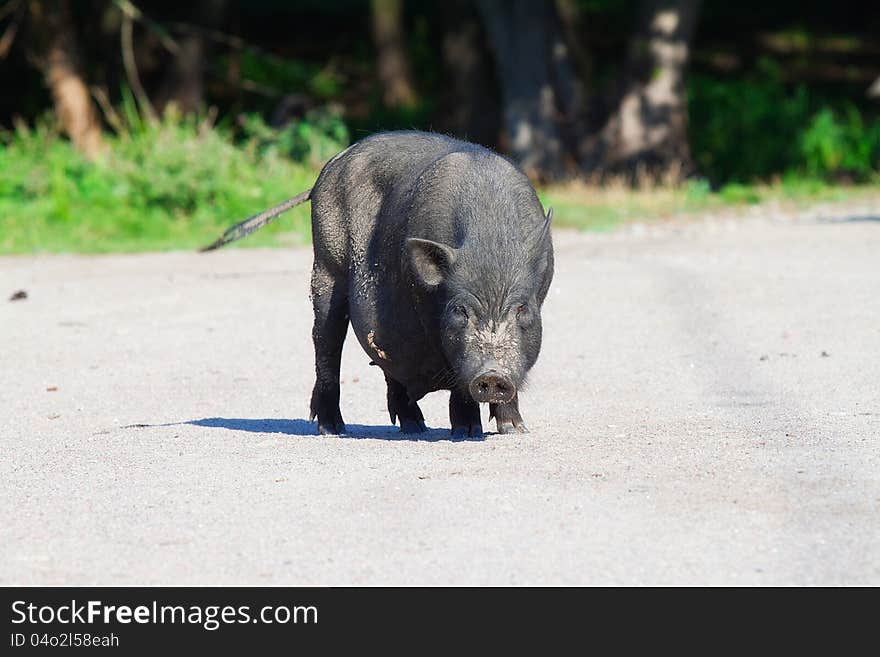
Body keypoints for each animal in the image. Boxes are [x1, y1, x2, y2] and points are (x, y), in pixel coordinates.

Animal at [203, 131, 552, 436]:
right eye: (460, 311)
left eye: (522, 309)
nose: (492, 375)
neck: (490, 243)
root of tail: (325, 172)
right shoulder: (431, 318)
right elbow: (454, 372)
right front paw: (467, 432)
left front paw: (515, 430)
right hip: (326, 268)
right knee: (326, 345)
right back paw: (333, 429)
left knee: (386, 359)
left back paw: (414, 426)